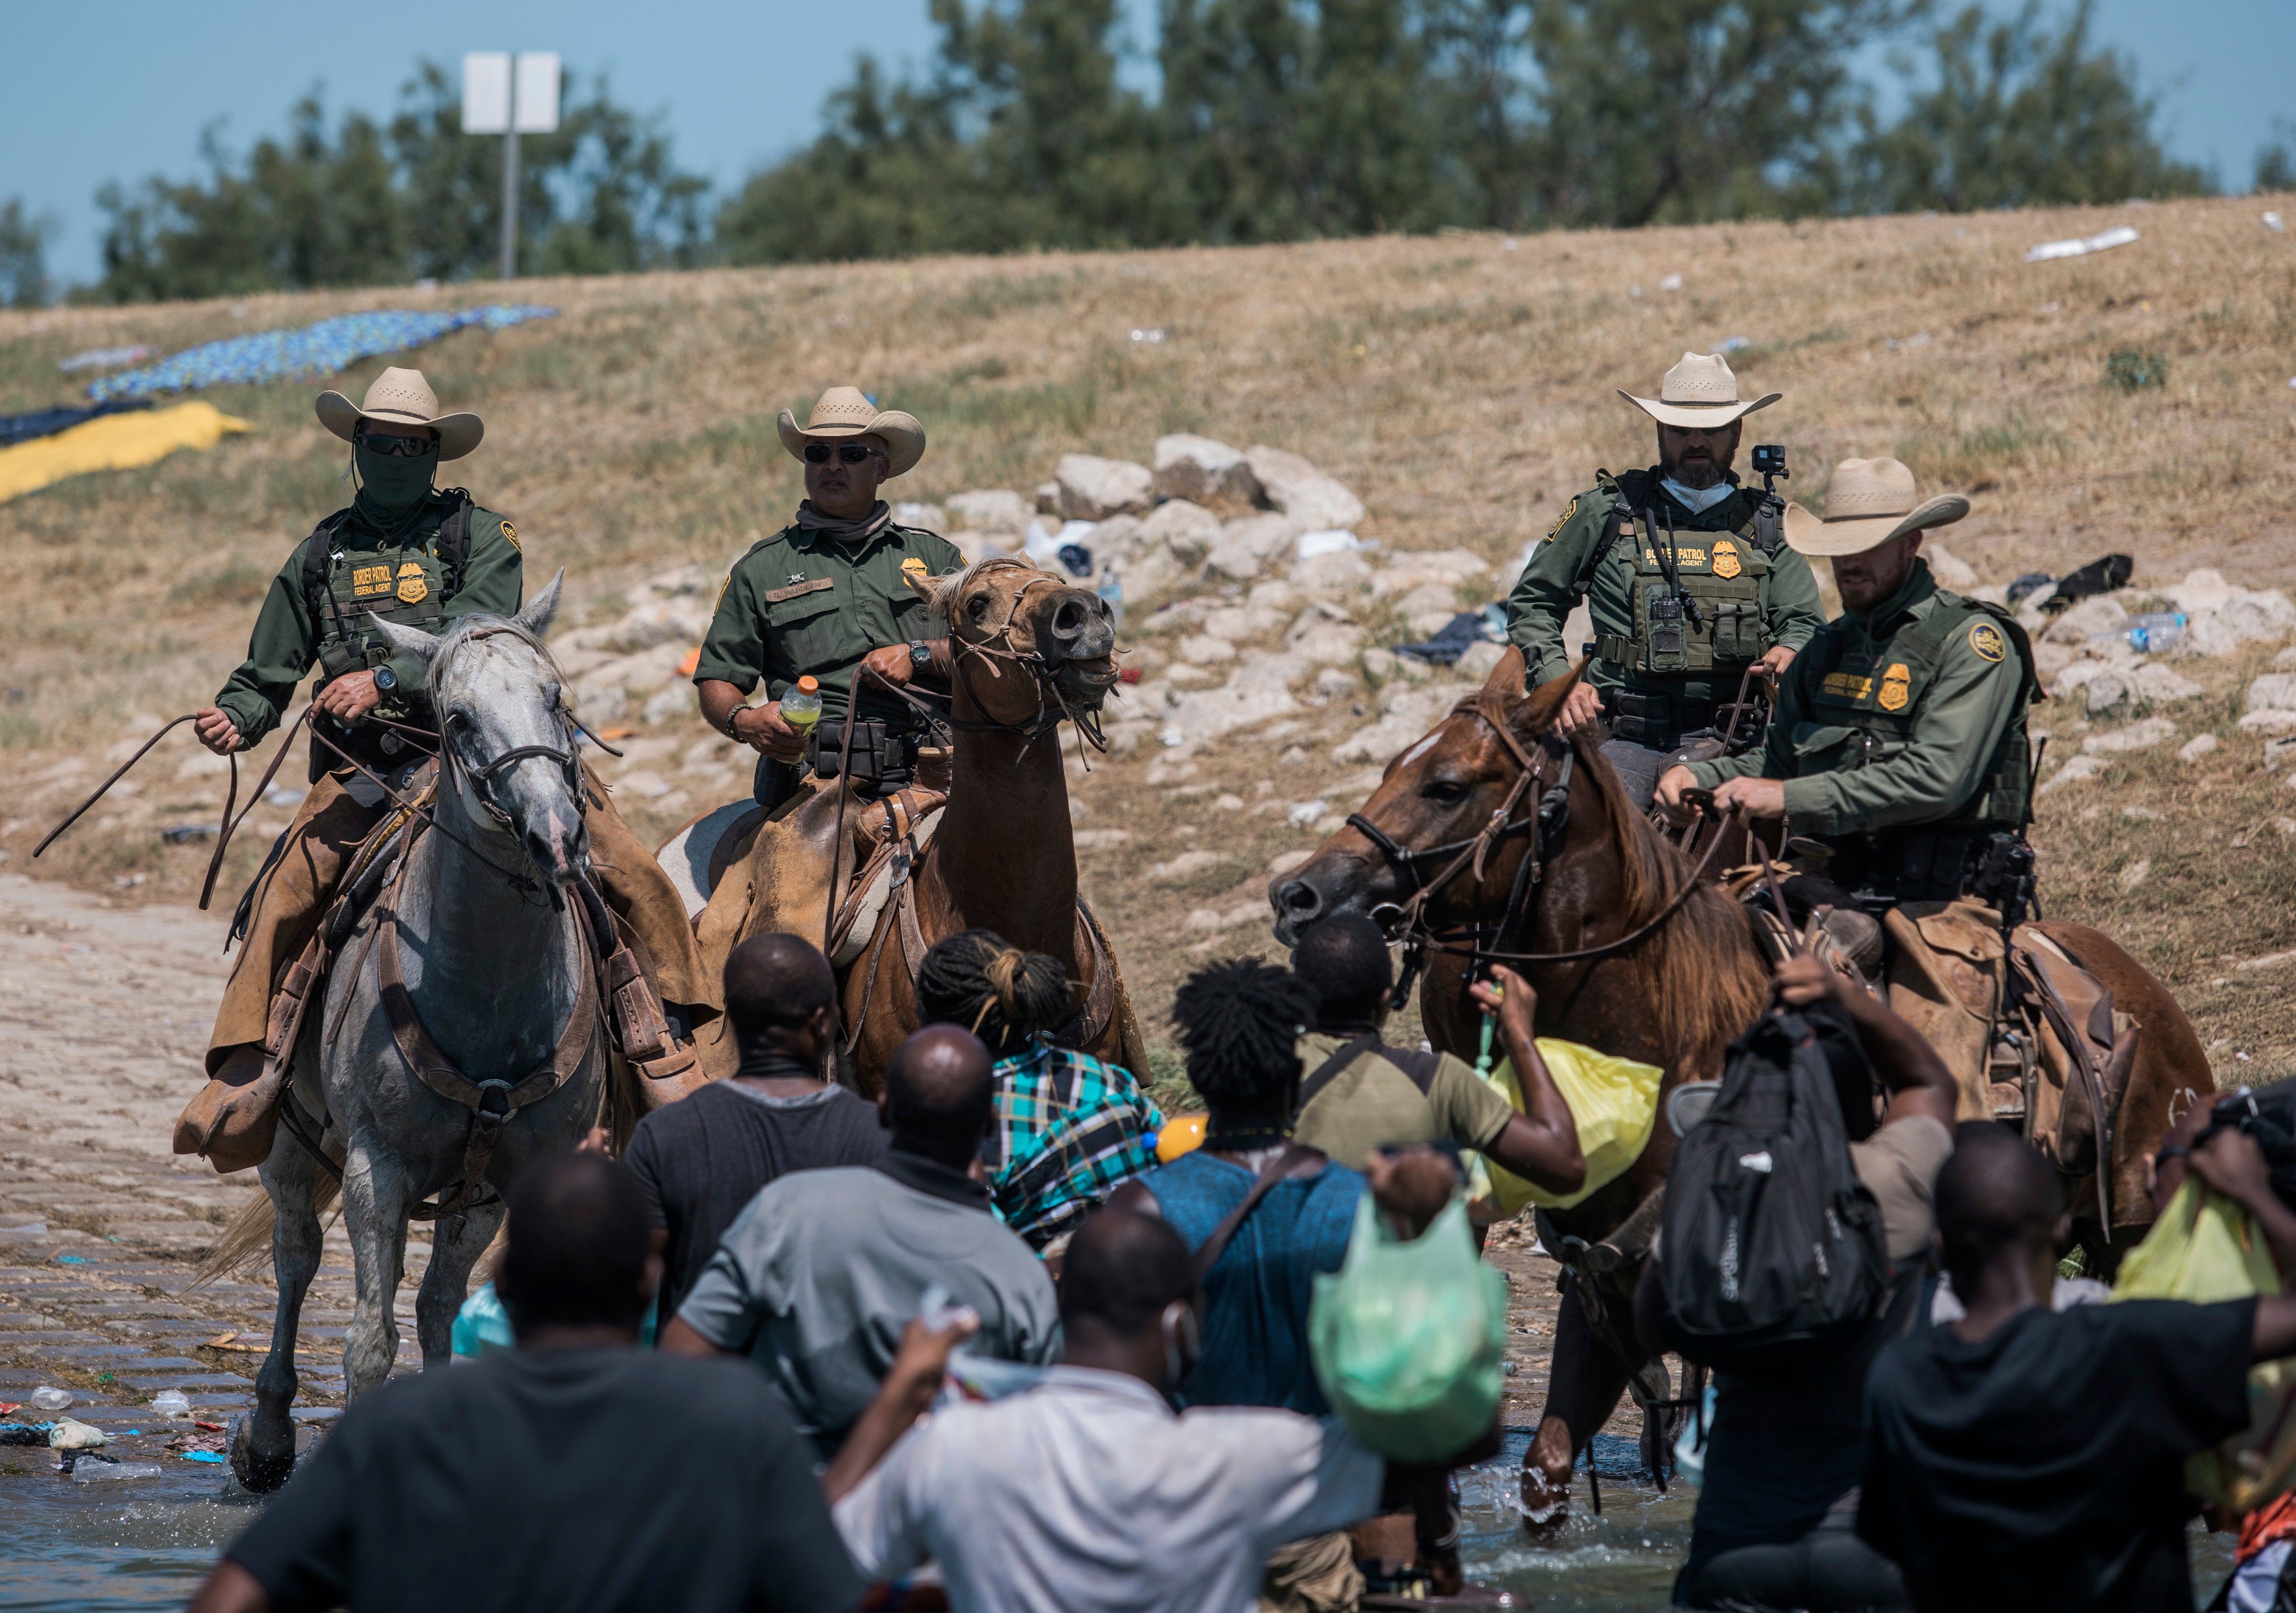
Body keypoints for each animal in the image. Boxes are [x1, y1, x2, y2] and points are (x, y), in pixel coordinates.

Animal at [230, 579, 611, 1489]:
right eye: (458, 717)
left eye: (555, 696)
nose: (558, 836)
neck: (490, 990)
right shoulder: (378, 1168)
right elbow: (371, 1342)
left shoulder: (505, 1180)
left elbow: (441, 1309)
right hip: (290, 1141)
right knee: (296, 1256)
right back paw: (269, 1438)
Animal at [1276, 648, 2204, 1526]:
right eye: (1394, 764)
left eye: (1448, 784)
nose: (1298, 895)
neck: (1665, 1042)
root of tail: (2149, 999)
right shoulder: (1598, 1293)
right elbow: (1548, 1465)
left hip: (2131, 1231)